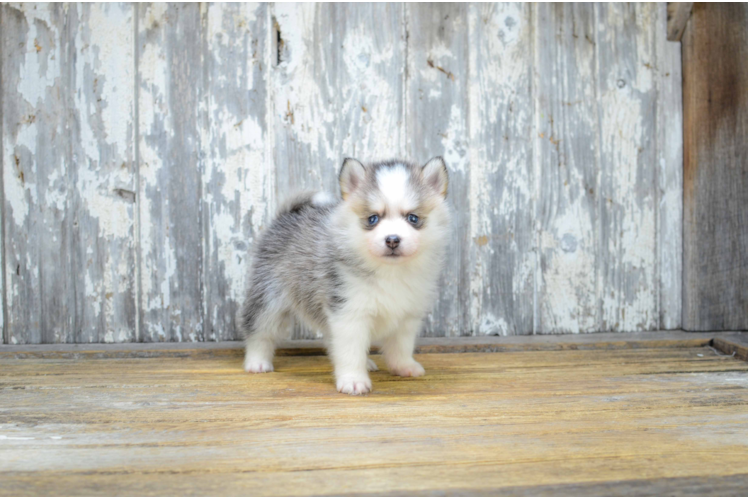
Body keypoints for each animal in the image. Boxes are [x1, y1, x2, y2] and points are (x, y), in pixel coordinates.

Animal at [237, 157, 452, 394]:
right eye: (373, 219)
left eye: (413, 218)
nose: (392, 239)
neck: (390, 272)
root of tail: (286, 215)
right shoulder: (349, 313)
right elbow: (350, 352)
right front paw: (353, 380)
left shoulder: (406, 316)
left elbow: (401, 346)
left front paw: (404, 366)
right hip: (269, 299)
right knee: (259, 331)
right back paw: (257, 362)